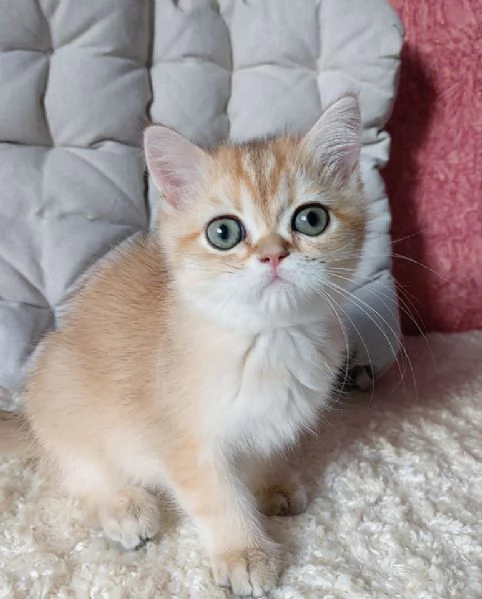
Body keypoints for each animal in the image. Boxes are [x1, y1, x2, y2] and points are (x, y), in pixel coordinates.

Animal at [0, 96, 370, 596]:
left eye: (311, 219)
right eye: (224, 232)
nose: (273, 254)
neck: (267, 342)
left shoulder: (269, 422)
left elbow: (260, 454)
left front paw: (268, 484)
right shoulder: (183, 441)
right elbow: (217, 496)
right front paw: (243, 551)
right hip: (64, 395)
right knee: (78, 469)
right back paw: (123, 506)